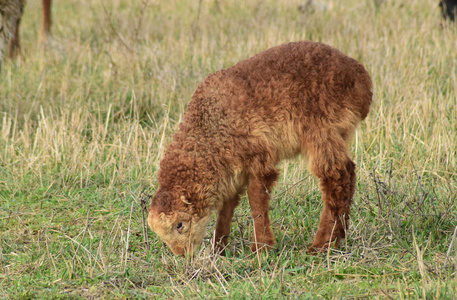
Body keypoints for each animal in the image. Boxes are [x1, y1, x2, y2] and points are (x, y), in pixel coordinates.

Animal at [148, 40, 372, 255]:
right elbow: (227, 207)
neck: (210, 126)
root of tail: (362, 79)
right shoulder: (231, 171)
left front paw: (261, 248)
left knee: (336, 177)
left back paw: (321, 246)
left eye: (179, 225)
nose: (182, 255)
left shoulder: (259, 160)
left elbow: (256, 202)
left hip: (320, 130)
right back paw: (338, 237)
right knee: (348, 173)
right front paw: (219, 249)